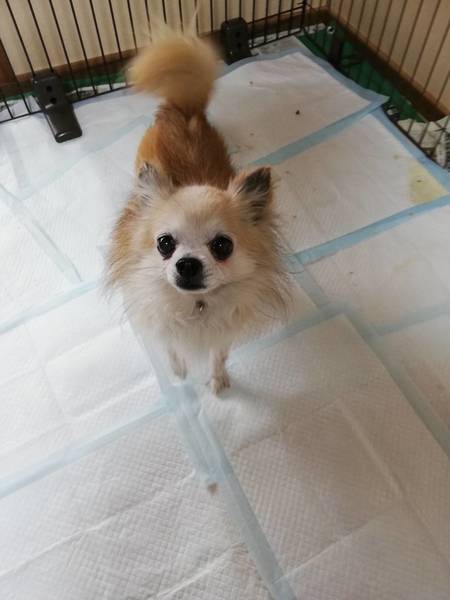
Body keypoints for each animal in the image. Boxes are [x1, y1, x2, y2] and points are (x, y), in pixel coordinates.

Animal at [106, 27, 290, 394]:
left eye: (222, 246)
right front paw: (179, 371)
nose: (188, 263)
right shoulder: (163, 324)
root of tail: (183, 110)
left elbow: (218, 356)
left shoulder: (223, 333)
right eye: (164, 243)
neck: (196, 306)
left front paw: (218, 381)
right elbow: (172, 349)